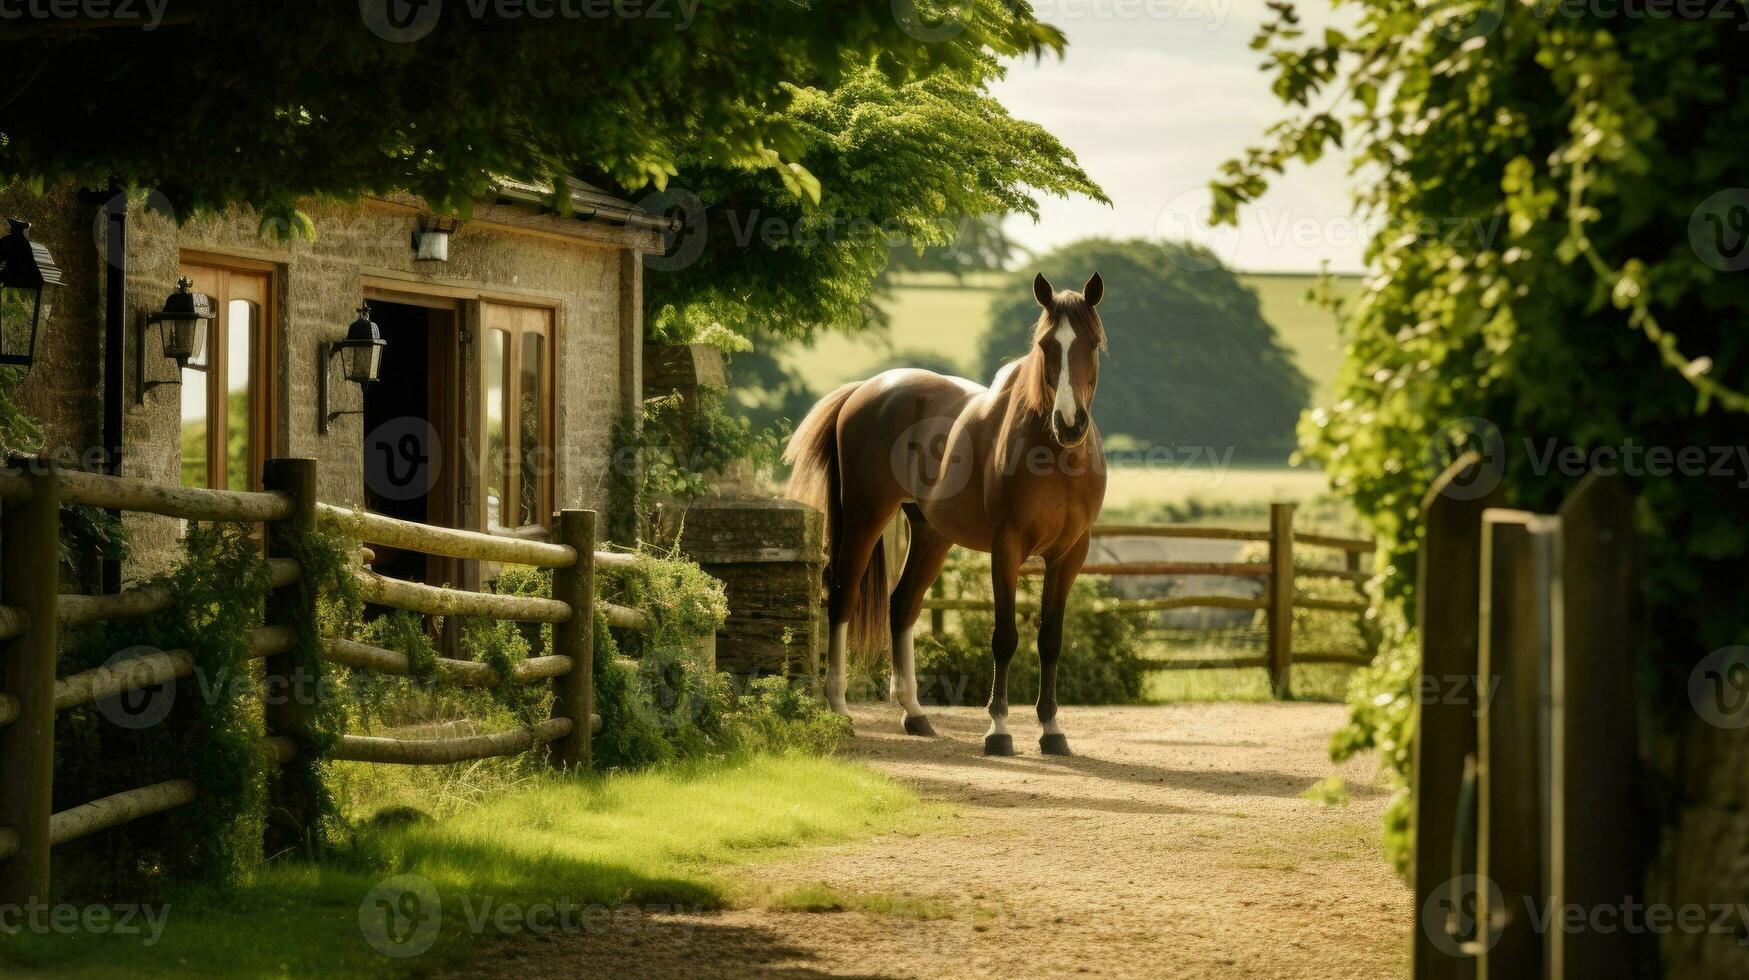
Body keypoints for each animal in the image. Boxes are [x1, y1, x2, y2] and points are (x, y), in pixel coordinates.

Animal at [790, 271, 1105, 752]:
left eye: (1092, 343)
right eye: (1047, 344)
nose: (1070, 422)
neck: (1053, 454)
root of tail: (865, 389)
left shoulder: (1070, 555)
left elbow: (1050, 639)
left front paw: (1052, 730)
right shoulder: (1006, 548)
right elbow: (1005, 637)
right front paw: (998, 729)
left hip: (931, 534)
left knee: (902, 605)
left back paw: (915, 713)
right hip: (866, 515)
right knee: (843, 597)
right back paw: (840, 708)